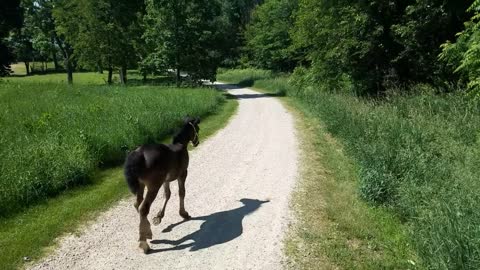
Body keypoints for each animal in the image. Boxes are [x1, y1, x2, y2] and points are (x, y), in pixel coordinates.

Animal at [124, 116, 201, 253]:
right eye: (197, 128)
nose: (196, 142)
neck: (180, 145)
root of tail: (139, 153)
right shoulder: (183, 174)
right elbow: (182, 192)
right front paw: (184, 214)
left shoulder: (166, 180)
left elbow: (167, 194)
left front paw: (159, 217)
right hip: (153, 186)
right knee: (143, 208)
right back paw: (144, 243)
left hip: (141, 186)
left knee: (137, 204)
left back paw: (147, 232)